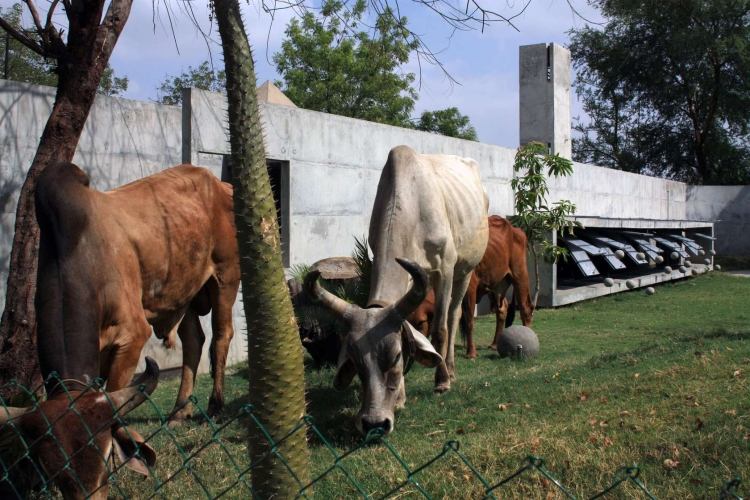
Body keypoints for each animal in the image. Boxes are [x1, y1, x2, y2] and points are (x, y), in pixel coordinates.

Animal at [33, 162, 239, 420]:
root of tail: (222, 185)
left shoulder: (132, 334)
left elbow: (115, 394)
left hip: (225, 277)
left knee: (221, 336)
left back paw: (215, 405)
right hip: (185, 291)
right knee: (193, 340)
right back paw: (179, 411)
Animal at [306, 145, 494, 434]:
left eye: (395, 357)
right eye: (357, 363)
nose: (374, 422)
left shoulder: (444, 269)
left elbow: (439, 330)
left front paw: (441, 382)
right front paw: (401, 398)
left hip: (465, 270)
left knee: (454, 316)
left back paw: (450, 369)